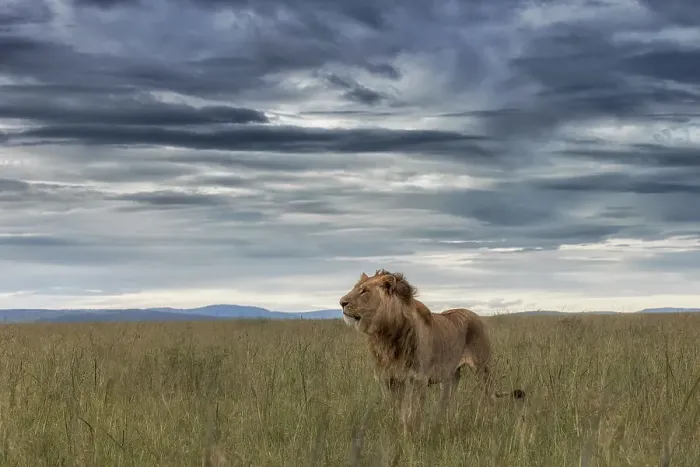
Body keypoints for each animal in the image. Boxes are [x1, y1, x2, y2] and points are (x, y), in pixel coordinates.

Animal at [339, 269, 524, 435]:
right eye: (356, 288)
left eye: (364, 291)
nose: (341, 303)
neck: (385, 336)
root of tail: (475, 314)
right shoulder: (389, 380)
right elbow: (398, 413)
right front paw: (398, 436)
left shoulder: (417, 380)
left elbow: (412, 414)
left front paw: (412, 439)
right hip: (451, 375)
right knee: (447, 401)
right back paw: (443, 424)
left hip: (483, 368)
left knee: (490, 397)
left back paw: (492, 423)